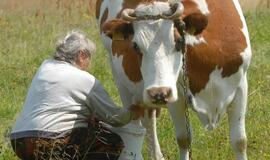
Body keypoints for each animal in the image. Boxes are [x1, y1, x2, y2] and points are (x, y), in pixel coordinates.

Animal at [95, 0, 251, 159]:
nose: (157, 92)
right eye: (135, 46)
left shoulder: (241, 85)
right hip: (123, 81)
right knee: (138, 124)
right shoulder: (176, 96)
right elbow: (184, 139)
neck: (209, 57)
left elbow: (239, 141)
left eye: (179, 41)